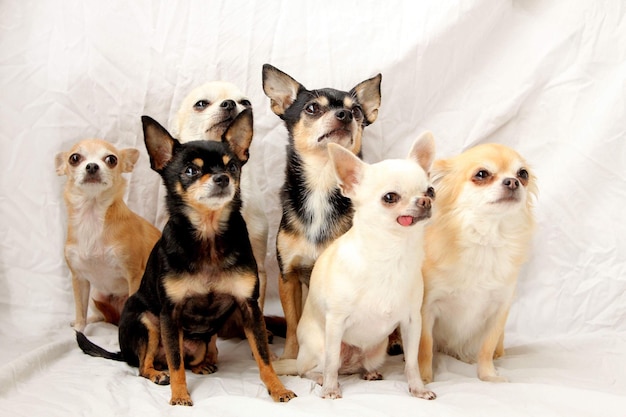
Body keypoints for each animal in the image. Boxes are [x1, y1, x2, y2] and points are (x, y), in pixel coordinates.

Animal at [54, 140, 160, 332]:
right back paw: (92, 319)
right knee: (101, 316)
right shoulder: (79, 279)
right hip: (97, 295)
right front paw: (79, 329)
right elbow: (80, 309)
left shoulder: (134, 275)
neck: (92, 216)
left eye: (111, 159)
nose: (92, 166)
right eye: (74, 158)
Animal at [75, 110, 294, 406]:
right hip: (148, 323)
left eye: (232, 167)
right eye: (191, 170)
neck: (208, 235)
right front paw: (179, 395)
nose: (222, 178)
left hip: (201, 341)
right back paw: (157, 373)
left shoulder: (249, 308)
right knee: (148, 364)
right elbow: (176, 361)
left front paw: (278, 388)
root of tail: (124, 352)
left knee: (194, 354)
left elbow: (263, 356)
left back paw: (202, 365)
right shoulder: (170, 313)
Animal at [260, 62, 380, 358]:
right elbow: (294, 325)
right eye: (312, 108)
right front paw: (290, 357)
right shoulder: (288, 277)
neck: (322, 183)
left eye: (357, 111)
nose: (345, 114)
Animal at [272, 132, 434, 398]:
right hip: (320, 346)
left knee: (357, 366)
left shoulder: (412, 323)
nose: (425, 201)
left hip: (377, 351)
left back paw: (369, 373)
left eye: (431, 190)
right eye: (390, 197)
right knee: (311, 369)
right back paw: (321, 379)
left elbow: (411, 362)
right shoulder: (336, 322)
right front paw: (330, 389)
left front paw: (418, 389)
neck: (392, 253)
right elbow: (330, 365)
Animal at [416, 142, 532, 380]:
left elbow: (486, 347)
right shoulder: (427, 308)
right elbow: (425, 346)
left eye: (523, 174)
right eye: (481, 174)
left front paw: (488, 376)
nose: (513, 181)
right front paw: (424, 378)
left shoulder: (499, 310)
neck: (485, 240)